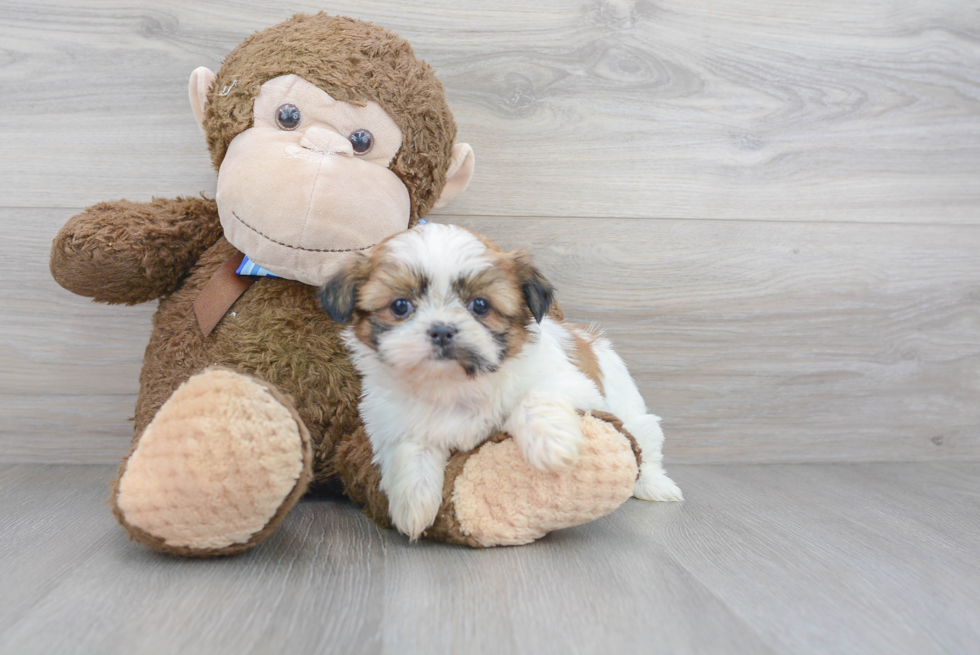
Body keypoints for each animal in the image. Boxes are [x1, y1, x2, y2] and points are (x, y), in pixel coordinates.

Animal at [322, 223, 680, 540]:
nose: (441, 330)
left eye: (480, 305)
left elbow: (535, 398)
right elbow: (411, 449)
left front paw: (552, 447)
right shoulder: (392, 420)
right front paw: (413, 504)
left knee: (644, 446)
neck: (452, 384)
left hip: (632, 413)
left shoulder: (572, 382)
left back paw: (655, 486)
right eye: (400, 306)